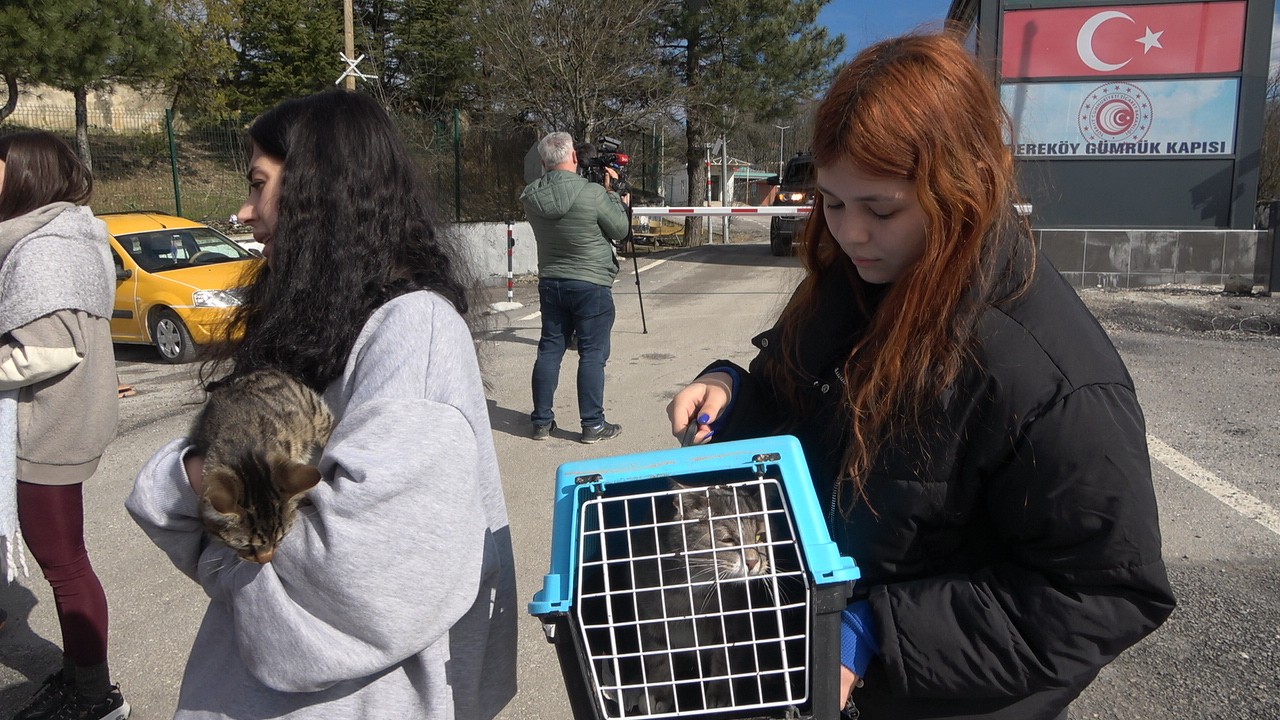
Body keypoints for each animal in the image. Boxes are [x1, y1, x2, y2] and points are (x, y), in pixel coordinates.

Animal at [529, 435, 860, 712]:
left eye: (760, 536)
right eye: (727, 539)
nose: (754, 562)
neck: (693, 590)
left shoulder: (733, 627)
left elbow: (724, 660)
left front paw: (719, 696)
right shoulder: (650, 625)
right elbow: (658, 663)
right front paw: (660, 696)